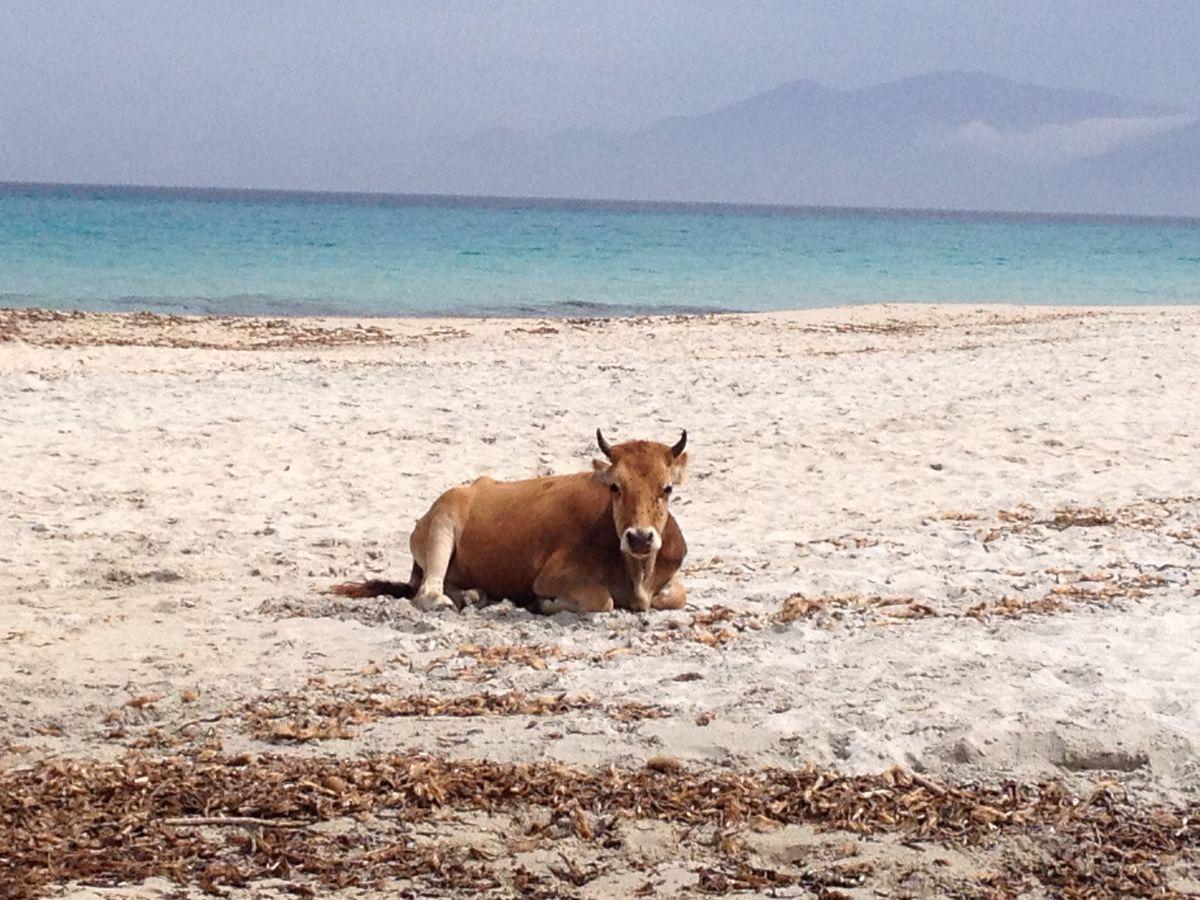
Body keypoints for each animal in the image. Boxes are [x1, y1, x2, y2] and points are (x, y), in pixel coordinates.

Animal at [331, 430, 689, 614]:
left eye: (667, 487)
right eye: (616, 487)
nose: (640, 538)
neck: (637, 574)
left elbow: (677, 596)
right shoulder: (551, 577)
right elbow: (602, 600)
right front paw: (546, 604)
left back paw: (475, 595)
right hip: (442, 526)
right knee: (427, 592)